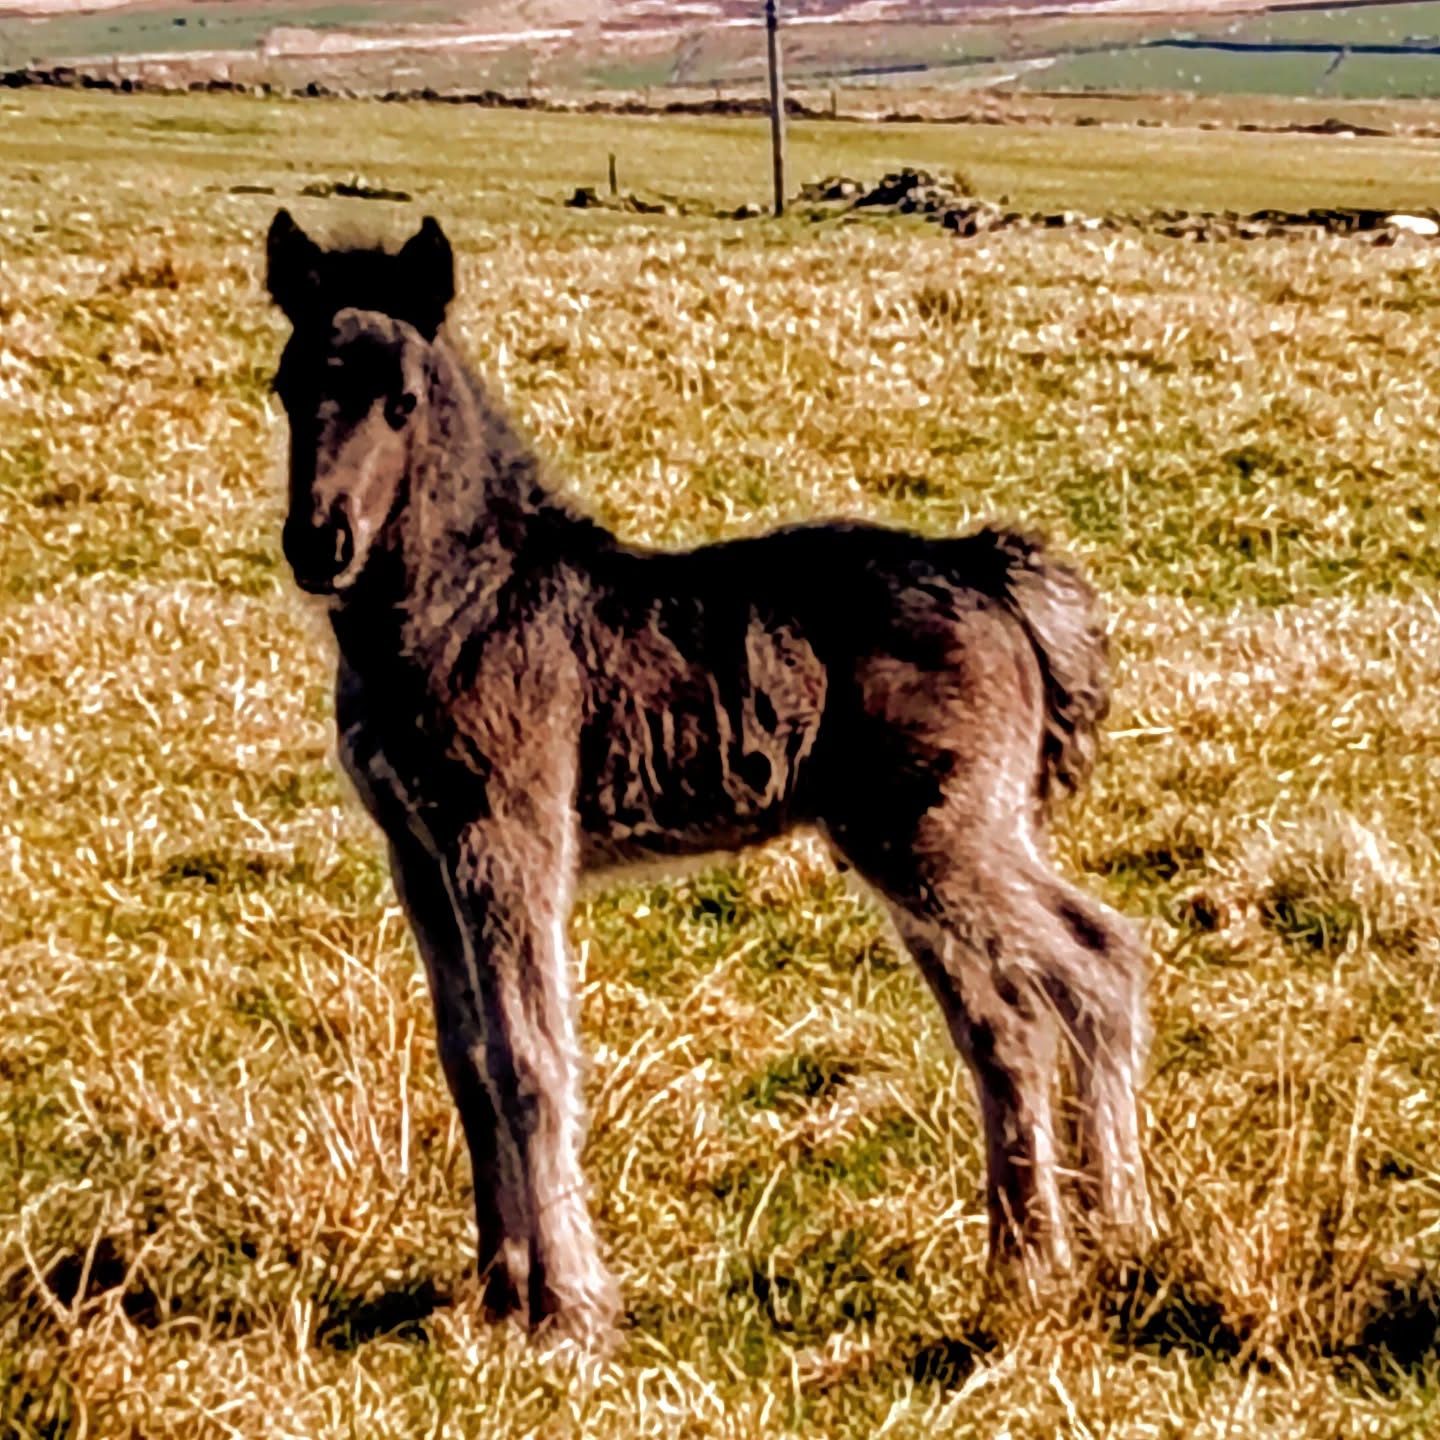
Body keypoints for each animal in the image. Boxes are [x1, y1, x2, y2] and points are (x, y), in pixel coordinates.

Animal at [265, 209, 1151, 1346]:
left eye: (401, 401)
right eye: (288, 385)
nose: (319, 541)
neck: (465, 608)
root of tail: (986, 571)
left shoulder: (509, 834)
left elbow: (531, 1056)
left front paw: (570, 1308)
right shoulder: (416, 851)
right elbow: (465, 1058)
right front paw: (499, 1289)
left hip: (942, 836)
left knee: (1092, 965)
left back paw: (1097, 1240)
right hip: (923, 844)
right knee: (1009, 1022)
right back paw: (1045, 1255)